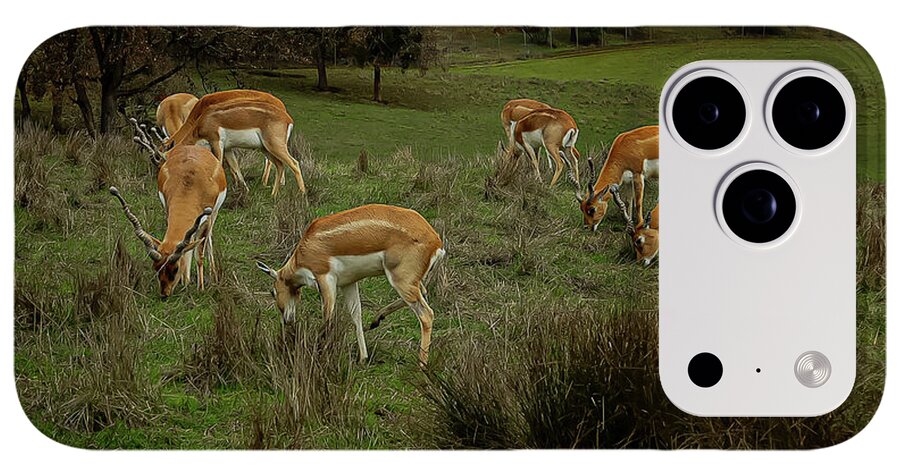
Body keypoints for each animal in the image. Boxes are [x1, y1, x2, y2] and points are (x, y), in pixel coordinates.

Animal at [110, 120, 227, 299]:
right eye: (156, 267)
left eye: (175, 268)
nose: (164, 294)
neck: (190, 184)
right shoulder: (168, 209)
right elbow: (186, 246)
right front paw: (185, 281)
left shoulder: (206, 218)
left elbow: (199, 253)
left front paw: (200, 288)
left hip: (213, 214)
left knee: (207, 239)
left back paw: (213, 272)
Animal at [165, 89, 304, 196]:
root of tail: (288, 118)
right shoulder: (228, 149)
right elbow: (235, 167)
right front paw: (244, 190)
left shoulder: (216, 143)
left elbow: (219, 165)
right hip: (266, 148)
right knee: (280, 165)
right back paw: (273, 194)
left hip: (274, 146)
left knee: (294, 163)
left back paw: (302, 195)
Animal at [256, 204, 445, 365]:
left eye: (273, 292)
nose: (287, 320)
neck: (305, 249)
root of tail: (436, 241)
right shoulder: (348, 283)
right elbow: (356, 315)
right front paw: (363, 358)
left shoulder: (325, 279)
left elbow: (327, 317)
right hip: (409, 281)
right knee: (423, 292)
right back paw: (376, 320)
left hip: (400, 280)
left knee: (426, 314)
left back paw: (421, 364)